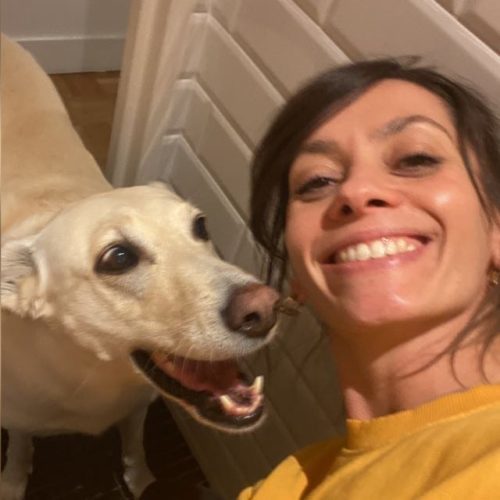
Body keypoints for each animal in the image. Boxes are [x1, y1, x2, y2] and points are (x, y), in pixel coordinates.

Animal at [1, 35, 281, 499]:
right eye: (118, 258)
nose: (266, 307)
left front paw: (141, 475)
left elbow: (134, 438)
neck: (91, 375)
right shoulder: (18, 418)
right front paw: (13, 477)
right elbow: (21, 444)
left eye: (200, 226)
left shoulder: (138, 405)